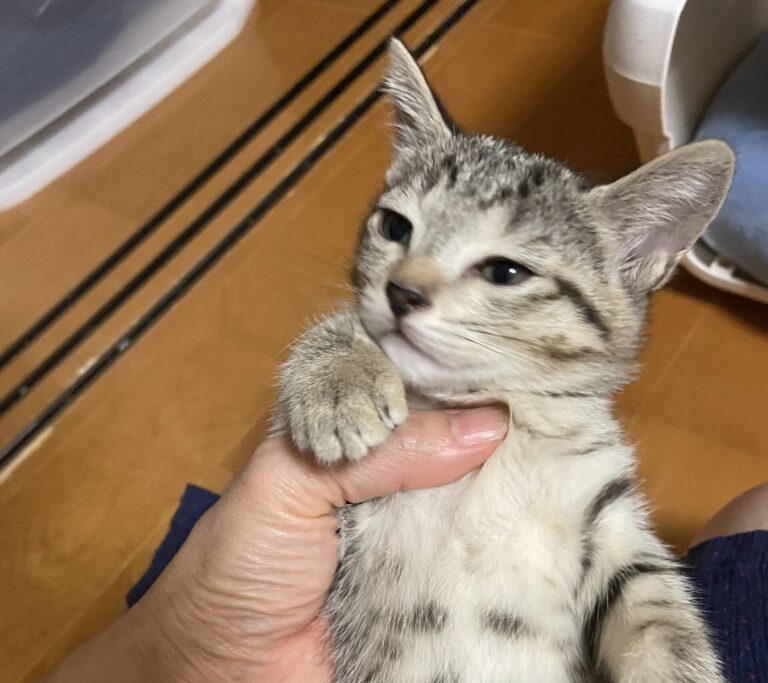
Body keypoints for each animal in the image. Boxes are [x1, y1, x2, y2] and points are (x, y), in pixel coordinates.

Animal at [274, 38, 735, 683]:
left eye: (505, 271)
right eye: (394, 226)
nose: (401, 292)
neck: (511, 418)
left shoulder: (612, 526)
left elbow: (663, 624)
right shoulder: (350, 528)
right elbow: (340, 327)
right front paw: (338, 381)